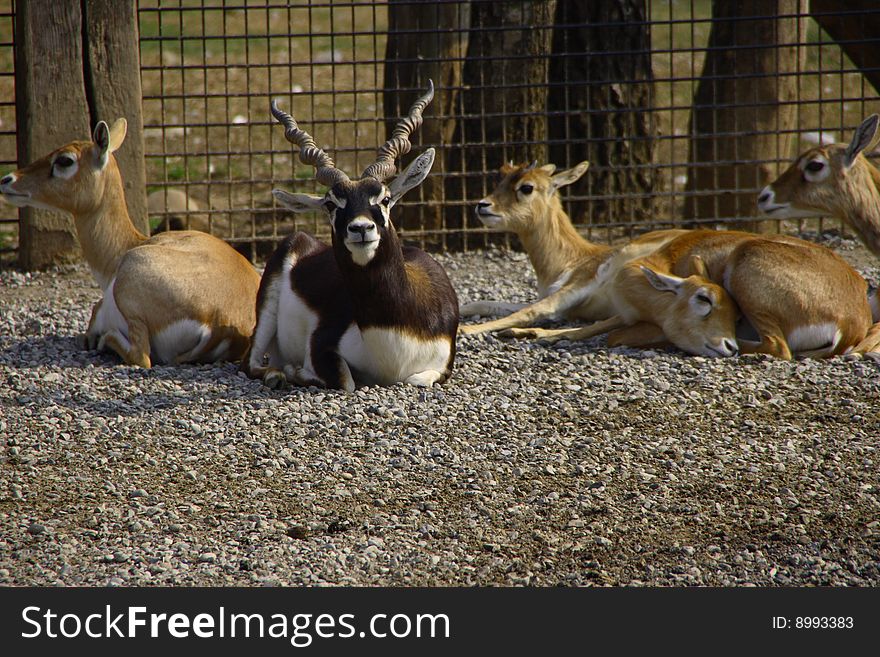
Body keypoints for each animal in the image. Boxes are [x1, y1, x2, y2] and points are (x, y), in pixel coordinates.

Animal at [241, 81, 460, 390]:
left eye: (385, 198)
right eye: (331, 204)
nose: (361, 228)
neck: (394, 328)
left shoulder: (444, 364)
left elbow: (416, 380)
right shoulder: (321, 345)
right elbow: (347, 381)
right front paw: (298, 371)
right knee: (249, 362)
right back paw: (278, 373)